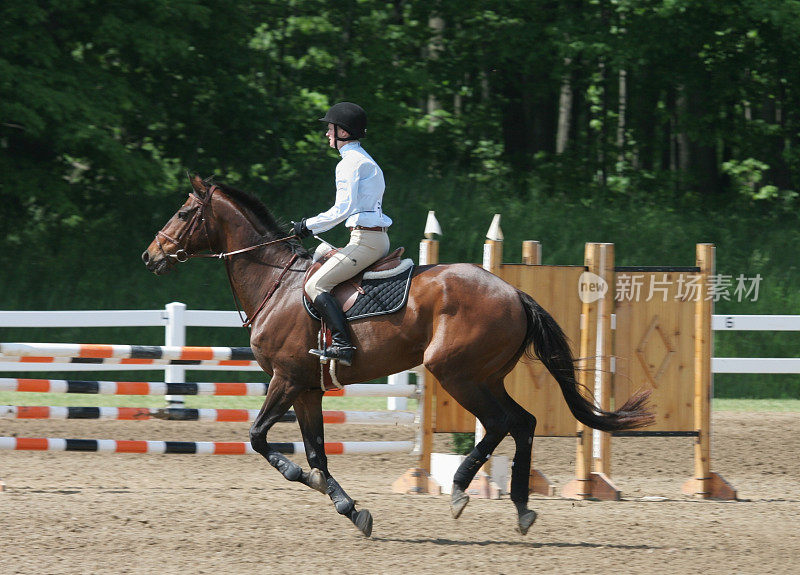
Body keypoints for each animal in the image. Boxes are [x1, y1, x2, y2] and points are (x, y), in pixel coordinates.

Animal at [141, 176, 652, 540]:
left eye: (184, 212)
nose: (150, 256)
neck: (277, 283)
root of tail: (514, 292)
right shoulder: (305, 388)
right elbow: (316, 451)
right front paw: (349, 508)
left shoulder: (285, 380)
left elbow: (260, 438)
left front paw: (302, 478)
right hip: (485, 376)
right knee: (523, 422)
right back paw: (521, 507)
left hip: (456, 374)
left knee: (501, 423)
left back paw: (462, 490)